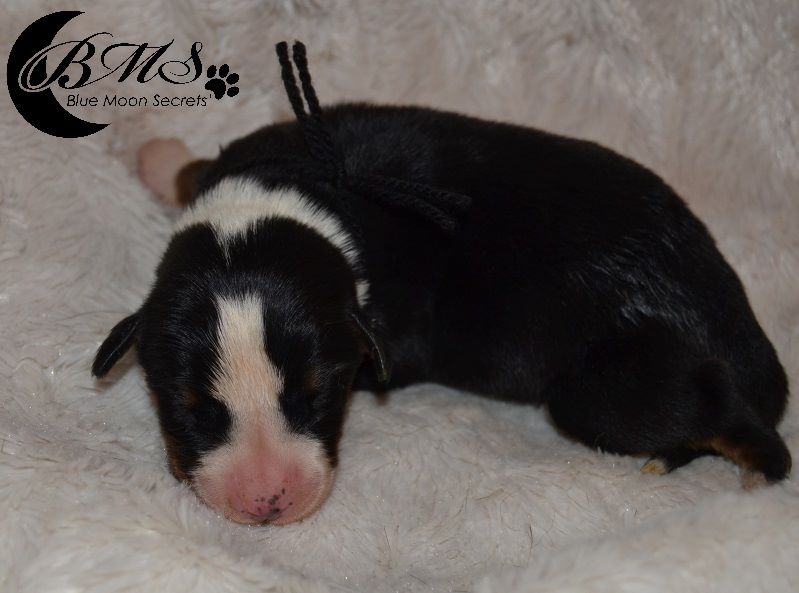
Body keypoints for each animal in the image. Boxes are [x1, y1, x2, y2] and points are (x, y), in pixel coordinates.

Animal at [93, 42, 791, 525]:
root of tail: (731, 312)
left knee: (729, 416)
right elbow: (193, 171)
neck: (305, 199)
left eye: (321, 396)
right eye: (190, 407)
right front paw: (160, 155)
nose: (268, 502)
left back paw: (754, 475)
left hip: (604, 391)